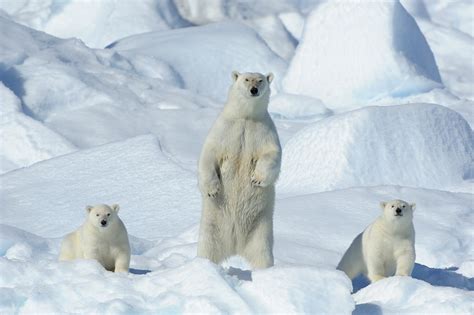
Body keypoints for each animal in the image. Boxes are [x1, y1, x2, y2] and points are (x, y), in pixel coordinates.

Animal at [197, 71, 282, 270]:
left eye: (260, 80)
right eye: (246, 79)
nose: (254, 90)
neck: (246, 117)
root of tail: (235, 246)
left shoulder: (264, 131)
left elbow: (272, 154)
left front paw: (257, 178)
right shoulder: (225, 129)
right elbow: (209, 154)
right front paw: (212, 189)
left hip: (260, 228)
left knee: (262, 254)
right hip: (212, 225)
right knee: (207, 248)